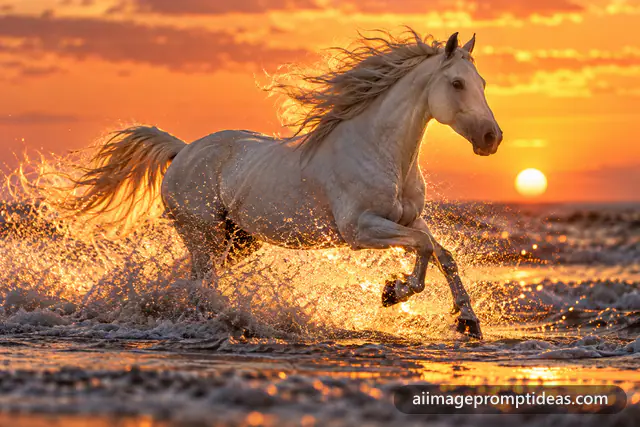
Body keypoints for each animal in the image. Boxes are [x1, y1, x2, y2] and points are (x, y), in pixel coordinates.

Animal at [63, 30, 502, 339]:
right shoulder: (360, 228)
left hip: (236, 241)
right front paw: (393, 292)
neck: (379, 150)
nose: (491, 138)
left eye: (482, 81)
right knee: (200, 283)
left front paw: (468, 322)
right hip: (203, 234)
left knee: (191, 279)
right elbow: (426, 247)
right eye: (458, 84)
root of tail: (183, 150)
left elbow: (443, 253)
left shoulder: (409, 219)